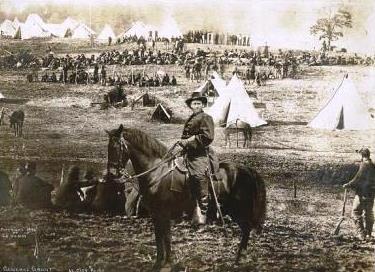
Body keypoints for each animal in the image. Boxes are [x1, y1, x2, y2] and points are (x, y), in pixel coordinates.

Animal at [106, 125, 268, 270]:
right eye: (108, 148)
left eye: (116, 147)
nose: (111, 174)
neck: (157, 172)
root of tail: (247, 169)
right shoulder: (156, 214)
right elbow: (160, 238)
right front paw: (160, 263)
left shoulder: (163, 213)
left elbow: (165, 237)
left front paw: (166, 263)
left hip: (239, 212)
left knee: (246, 230)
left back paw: (239, 259)